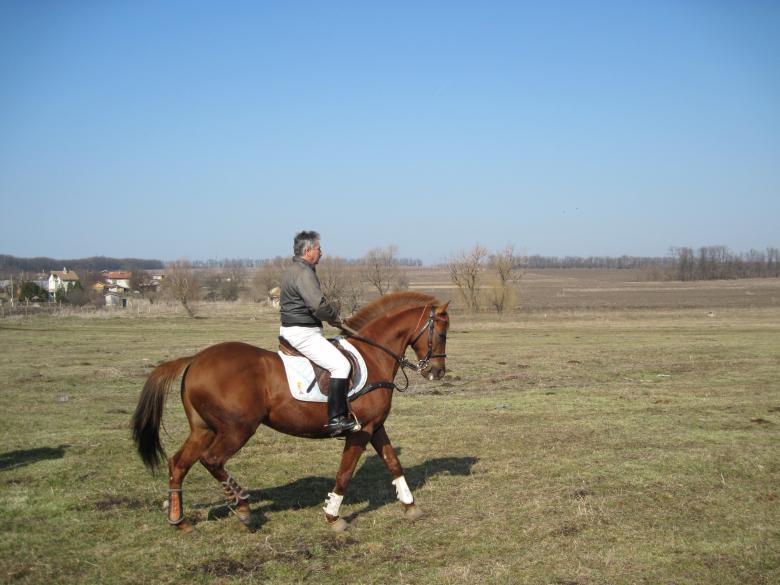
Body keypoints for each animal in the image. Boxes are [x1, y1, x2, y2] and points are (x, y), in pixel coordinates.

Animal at [132, 292, 450, 532]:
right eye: (442, 332)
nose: (437, 372)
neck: (373, 355)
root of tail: (195, 359)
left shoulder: (376, 426)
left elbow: (393, 463)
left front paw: (411, 506)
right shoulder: (361, 431)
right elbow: (345, 473)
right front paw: (333, 517)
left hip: (203, 429)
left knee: (178, 465)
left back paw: (181, 521)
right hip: (237, 429)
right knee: (212, 460)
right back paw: (243, 508)